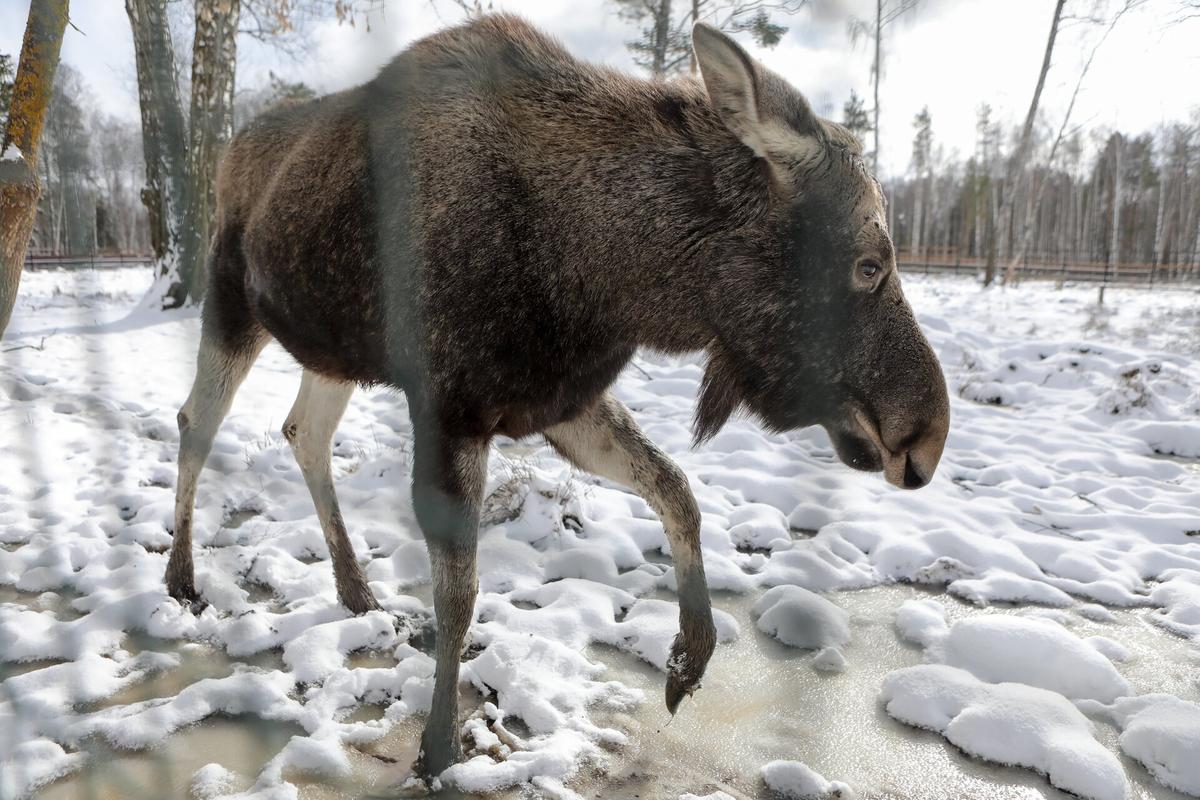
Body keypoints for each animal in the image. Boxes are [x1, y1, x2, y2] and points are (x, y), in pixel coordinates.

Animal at [166, 14, 945, 782]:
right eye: (869, 263)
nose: (927, 440)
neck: (600, 273)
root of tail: (229, 150)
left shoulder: (563, 403)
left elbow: (677, 490)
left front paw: (687, 660)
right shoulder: (452, 409)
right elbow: (459, 595)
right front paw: (438, 746)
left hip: (329, 352)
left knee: (303, 432)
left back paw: (354, 587)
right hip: (232, 305)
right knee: (195, 422)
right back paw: (182, 577)